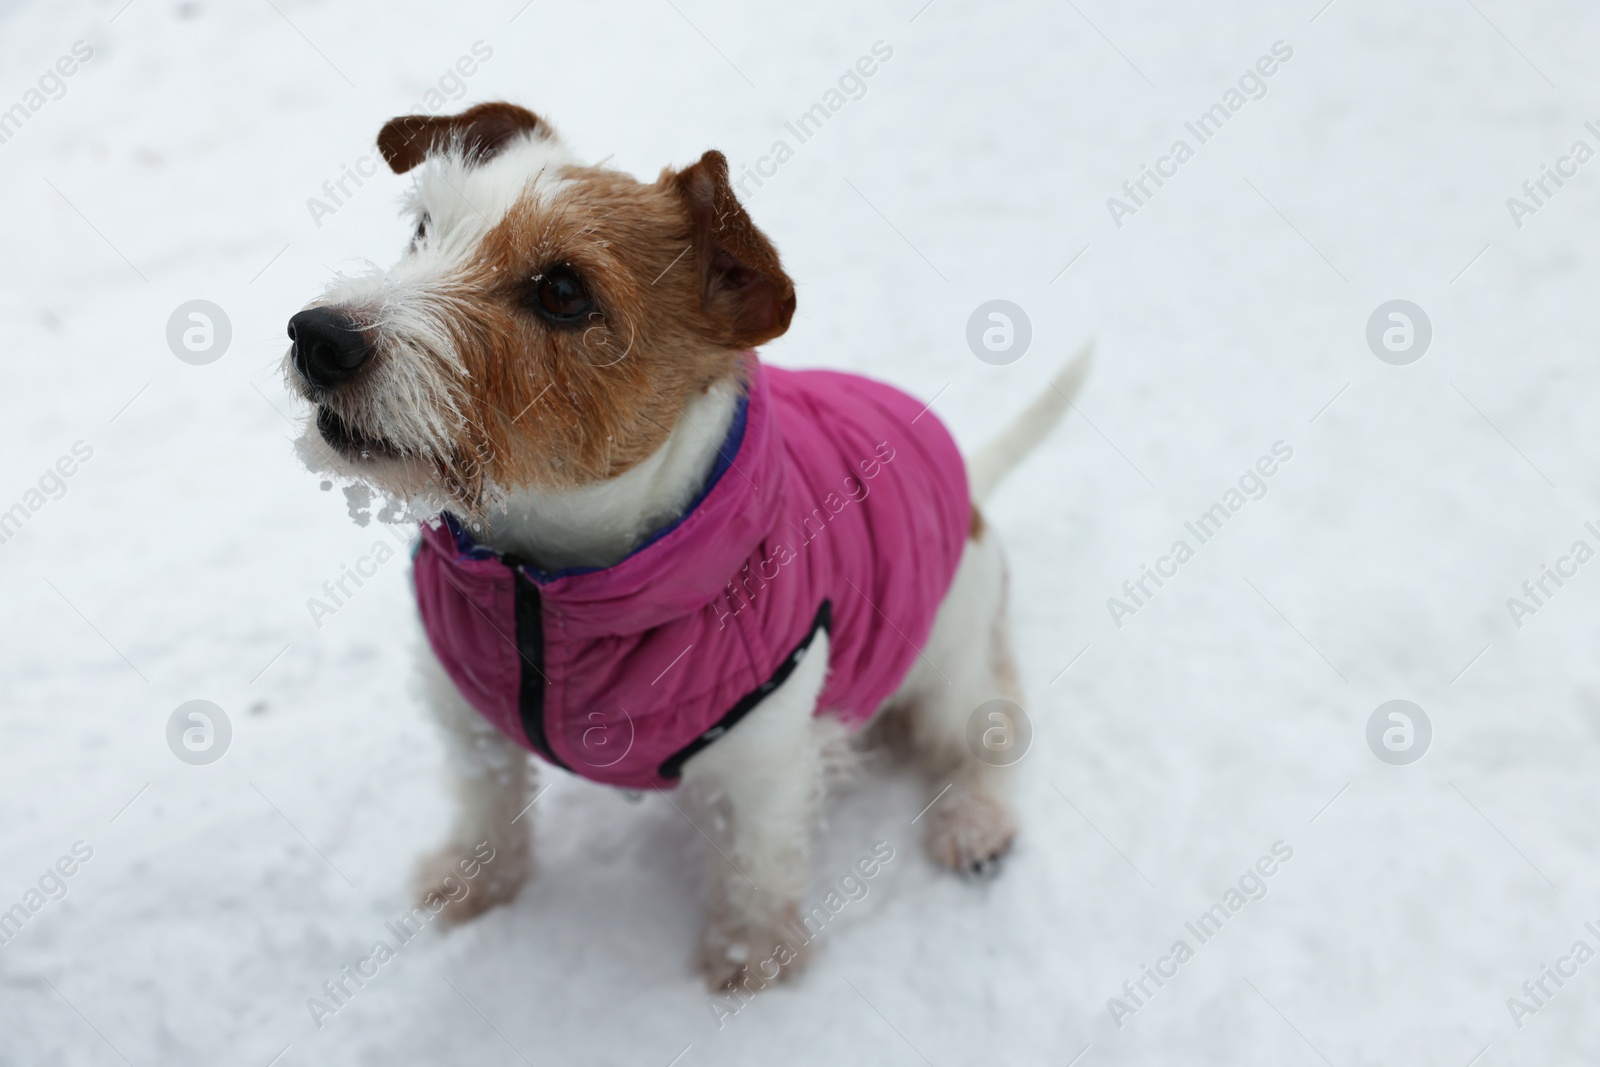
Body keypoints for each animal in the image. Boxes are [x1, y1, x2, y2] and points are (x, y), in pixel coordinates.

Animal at [288, 103, 1088, 991]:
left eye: (562, 291)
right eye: (425, 229)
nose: (317, 337)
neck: (547, 580)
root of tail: (972, 483)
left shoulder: (763, 757)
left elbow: (756, 861)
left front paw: (749, 958)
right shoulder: (467, 714)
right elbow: (485, 805)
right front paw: (471, 883)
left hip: (950, 664)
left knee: (988, 732)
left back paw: (975, 821)